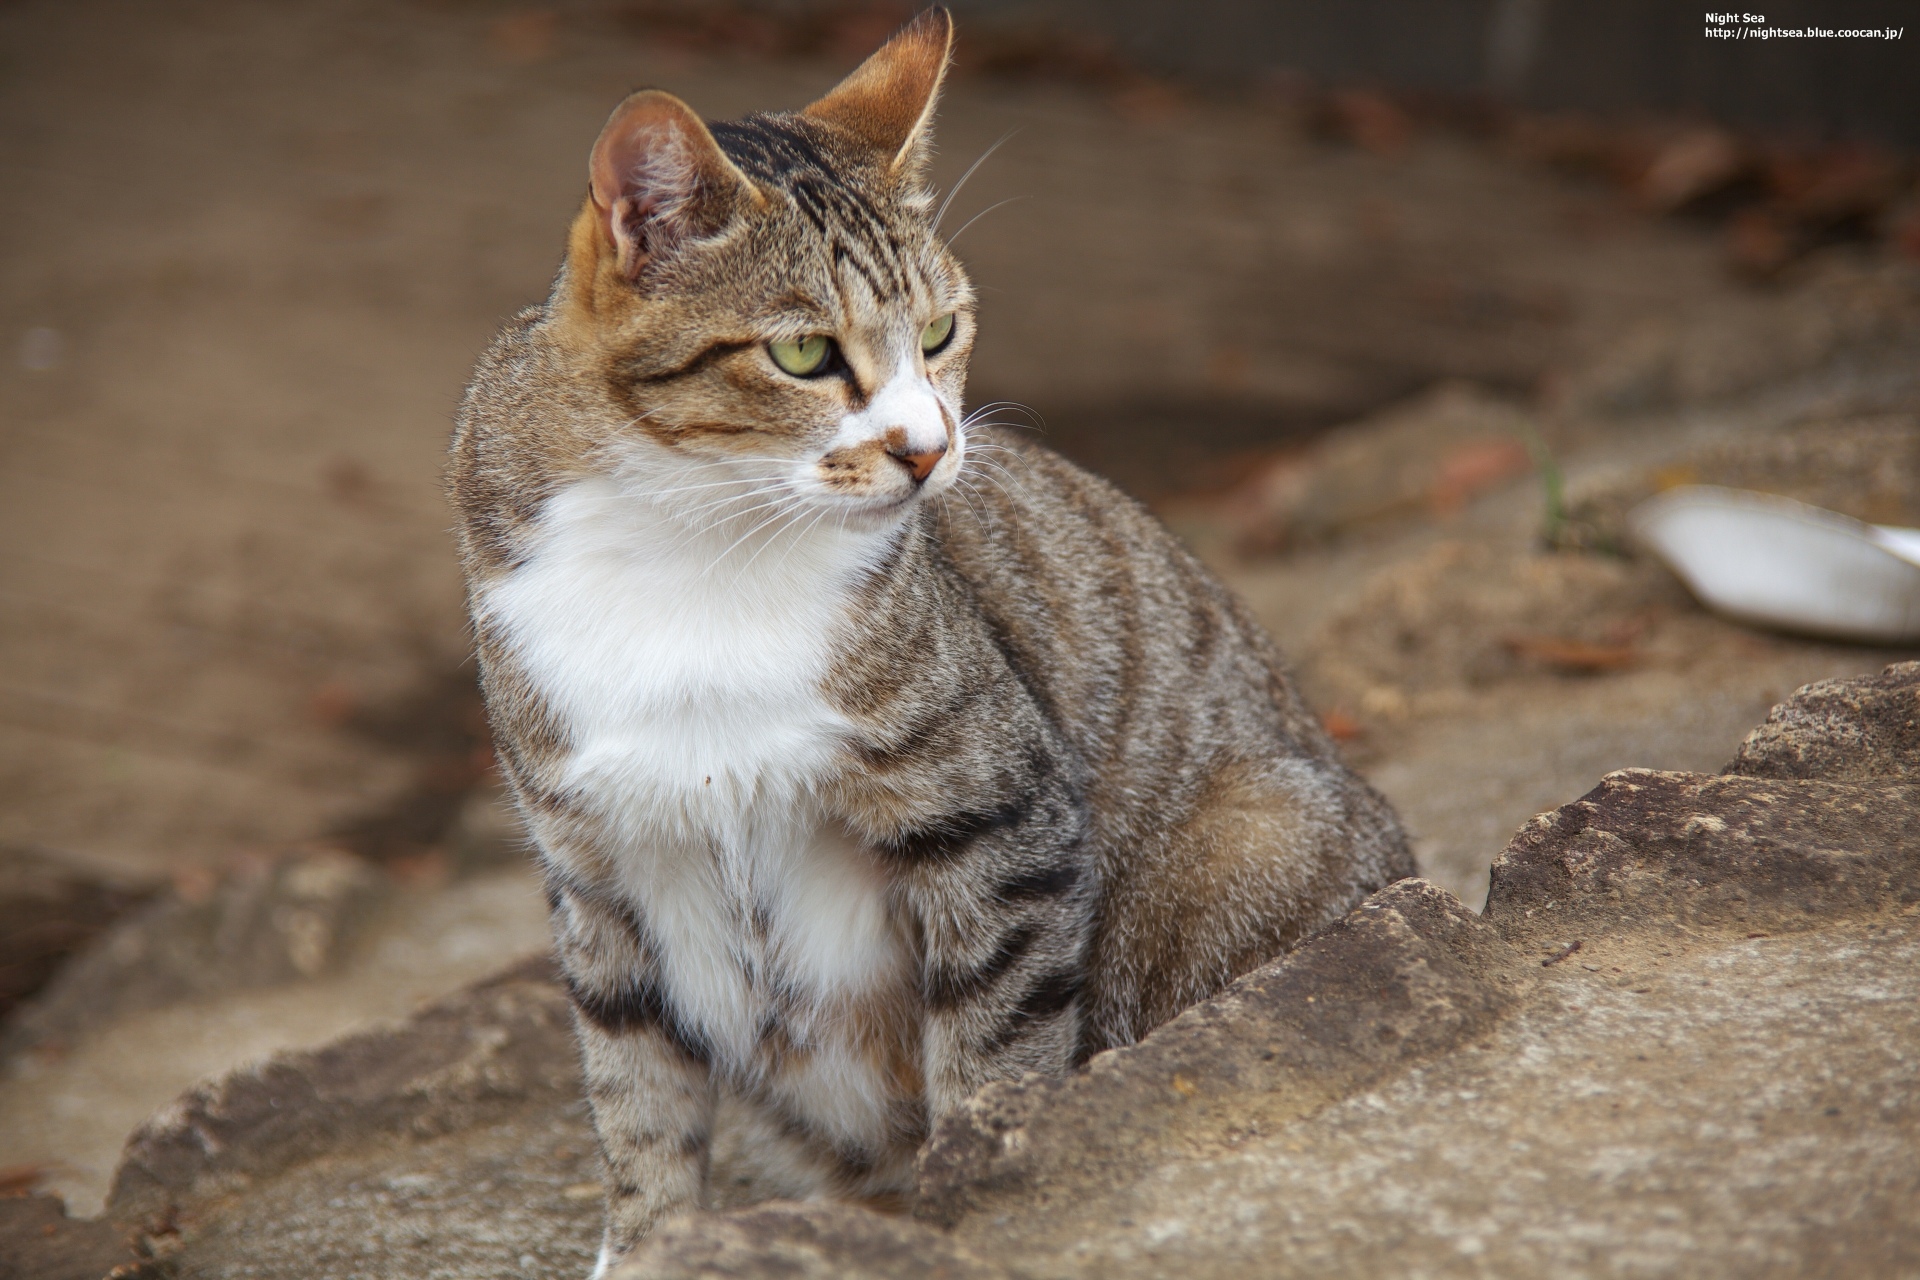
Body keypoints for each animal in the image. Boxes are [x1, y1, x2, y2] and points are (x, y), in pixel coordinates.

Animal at [449, 10, 1413, 1274]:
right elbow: (637, 1094)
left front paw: (979, 1188)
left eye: (944, 331)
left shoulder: (1000, 819)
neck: (695, 544)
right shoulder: (595, 869)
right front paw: (654, 1242)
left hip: (1257, 828)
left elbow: (996, 1046)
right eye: (804, 355)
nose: (929, 446)